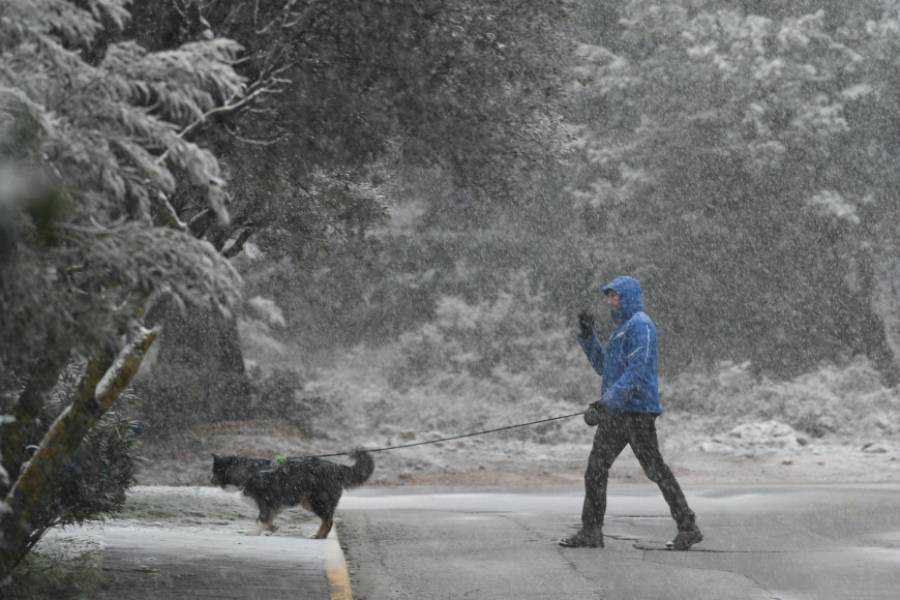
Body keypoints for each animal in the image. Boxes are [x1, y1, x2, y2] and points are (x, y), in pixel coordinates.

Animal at [211, 450, 372, 540]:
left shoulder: (266, 503)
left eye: (216, 471)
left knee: (328, 521)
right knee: (327, 519)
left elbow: (261, 520)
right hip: (308, 502)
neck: (249, 472)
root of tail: (337, 468)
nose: (210, 480)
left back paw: (318, 536)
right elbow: (268, 521)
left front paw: (253, 533)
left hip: (318, 501)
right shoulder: (272, 507)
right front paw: (273, 528)